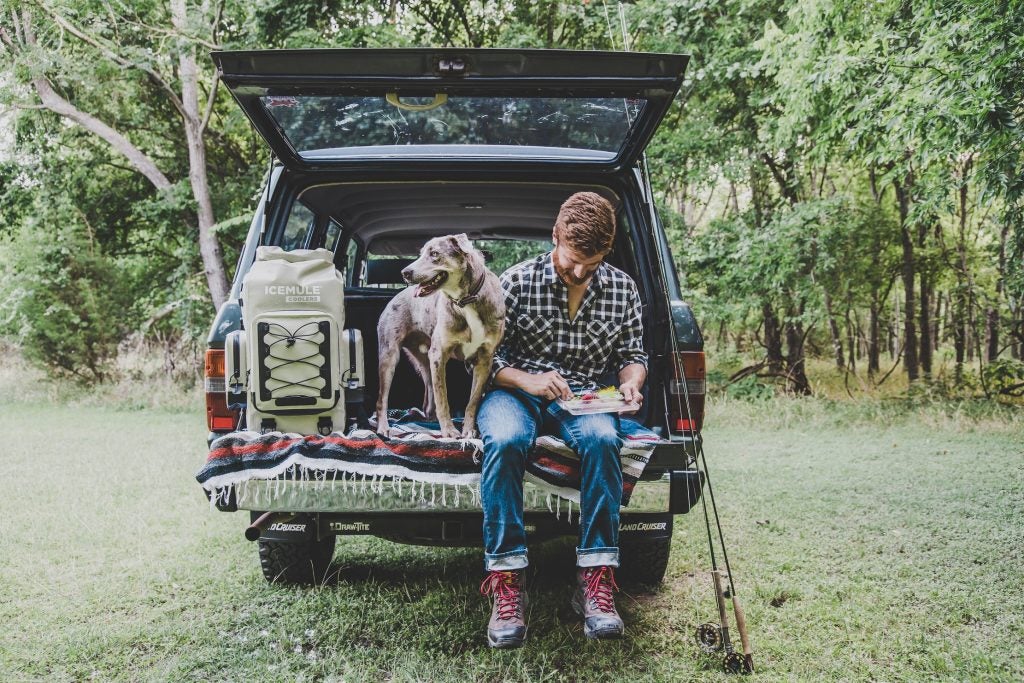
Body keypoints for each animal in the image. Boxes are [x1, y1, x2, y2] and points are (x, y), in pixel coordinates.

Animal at [376, 233, 503, 438]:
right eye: (421, 253)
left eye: (434, 253)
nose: (405, 273)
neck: (465, 300)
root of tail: (395, 297)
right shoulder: (439, 355)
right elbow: (443, 397)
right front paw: (449, 431)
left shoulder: (485, 359)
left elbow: (473, 401)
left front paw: (468, 430)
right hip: (390, 356)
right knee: (382, 399)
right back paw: (383, 427)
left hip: (425, 360)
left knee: (429, 396)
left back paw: (429, 418)